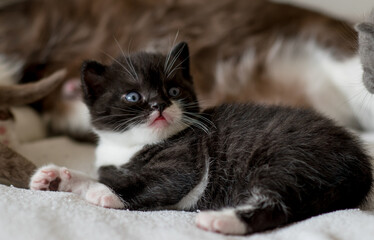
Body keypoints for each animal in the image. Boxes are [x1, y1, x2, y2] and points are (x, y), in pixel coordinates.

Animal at [30, 42, 372, 234]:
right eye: (133, 96)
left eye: (173, 91)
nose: (159, 105)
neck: (129, 146)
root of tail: (359, 165)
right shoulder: (112, 163)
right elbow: (104, 174)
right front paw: (58, 177)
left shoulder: (186, 158)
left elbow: (158, 181)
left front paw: (102, 193)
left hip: (289, 159)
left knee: (278, 204)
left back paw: (221, 220)